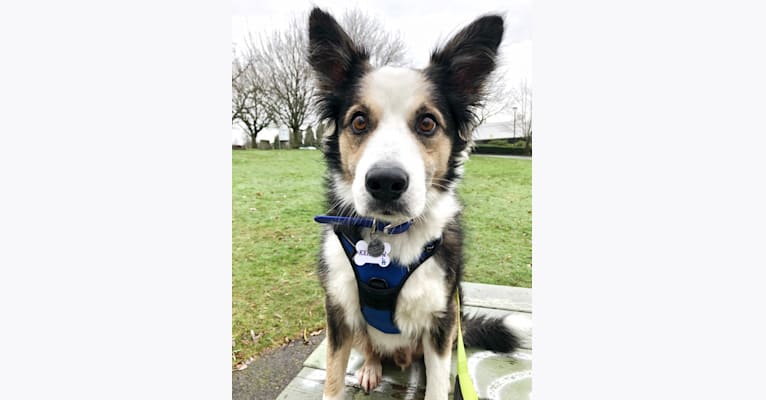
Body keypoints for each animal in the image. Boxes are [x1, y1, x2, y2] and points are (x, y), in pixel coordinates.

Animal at [308, 7, 520, 400]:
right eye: (358, 121)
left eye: (427, 123)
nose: (385, 183)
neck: (388, 234)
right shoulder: (338, 312)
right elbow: (332, 377)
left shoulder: (441, 319)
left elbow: (436, 383)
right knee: (371, 347)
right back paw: (371, 368)